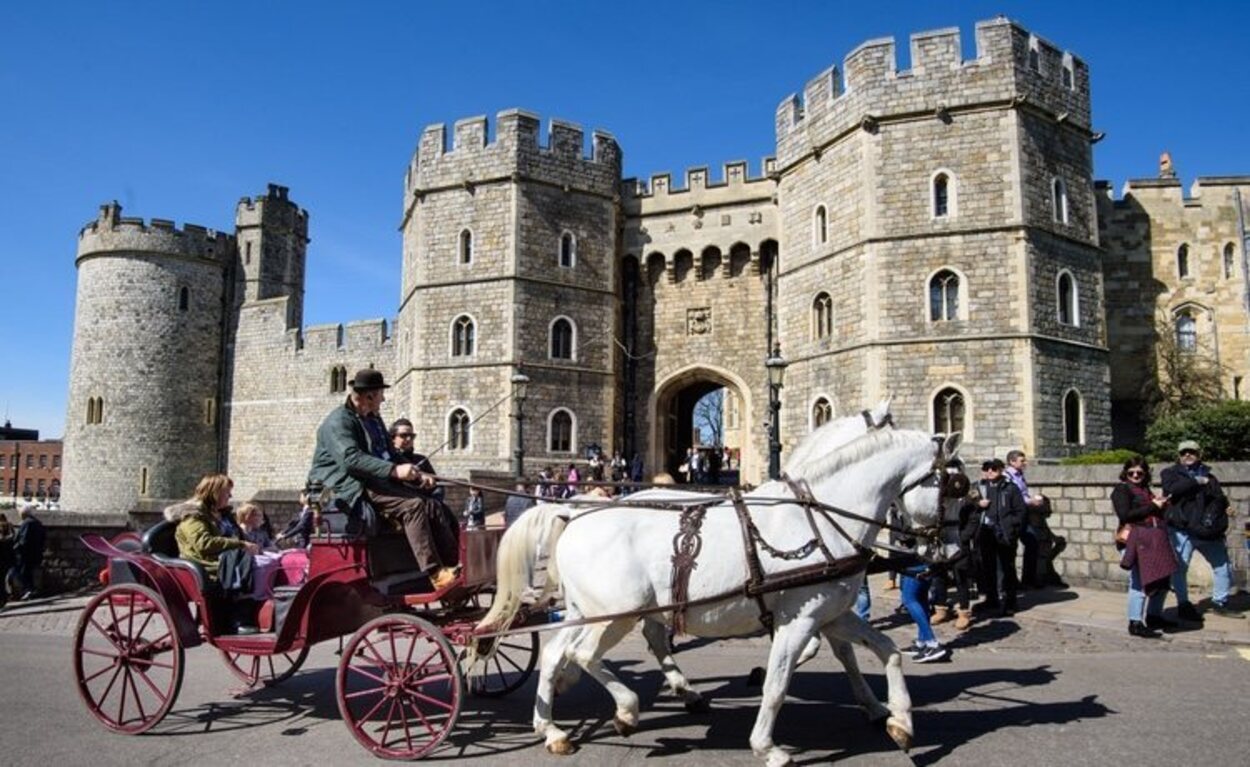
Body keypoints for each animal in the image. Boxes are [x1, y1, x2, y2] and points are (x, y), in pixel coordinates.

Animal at [477, 429, 955, 764]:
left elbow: (887, 650)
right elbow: (778, 684)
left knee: (557, 653)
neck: (821, 519)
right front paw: (768, 746)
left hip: (589, 610)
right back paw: (627, 709)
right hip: (618, 612)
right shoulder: (798, 619)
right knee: (583, 654)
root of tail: (574, 512)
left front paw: (898, 721)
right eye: (954, 484)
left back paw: (552, 727)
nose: (949, 553)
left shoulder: (831, 613)